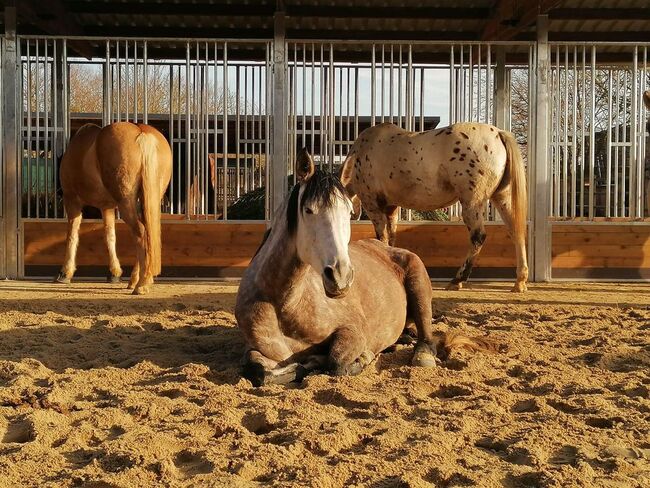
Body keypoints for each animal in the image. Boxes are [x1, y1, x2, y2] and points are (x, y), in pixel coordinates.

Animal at [56, 122, 172, 295]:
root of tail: (141, 132)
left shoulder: (72, 201)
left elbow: (72, 235)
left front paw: (65, 273)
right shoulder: (107, 207)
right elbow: (110, 236)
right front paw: (114, 272)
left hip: (126, 202)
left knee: (140, 231)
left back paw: (142, 284)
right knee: (146, 232)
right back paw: (135, 280)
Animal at [235, 148, 498, 386]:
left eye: (350, 212)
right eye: (308, 210)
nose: (340, 276)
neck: (285, 305)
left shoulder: (352, 331)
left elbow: (336, 362)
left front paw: (359, 358)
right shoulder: (254, 349)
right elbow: (258, 371)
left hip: (420, 288)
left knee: (426, 335)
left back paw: (421, 355)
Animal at [339, 122, 528, 293]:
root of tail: (498, 133)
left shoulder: (373, 205)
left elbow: (382, 237)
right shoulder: (391, 207)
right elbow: (391, 237)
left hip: (472, 203)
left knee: (478, 237)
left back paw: (457, 280)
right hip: (502, 197)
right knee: (516, 231)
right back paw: (519, 282)